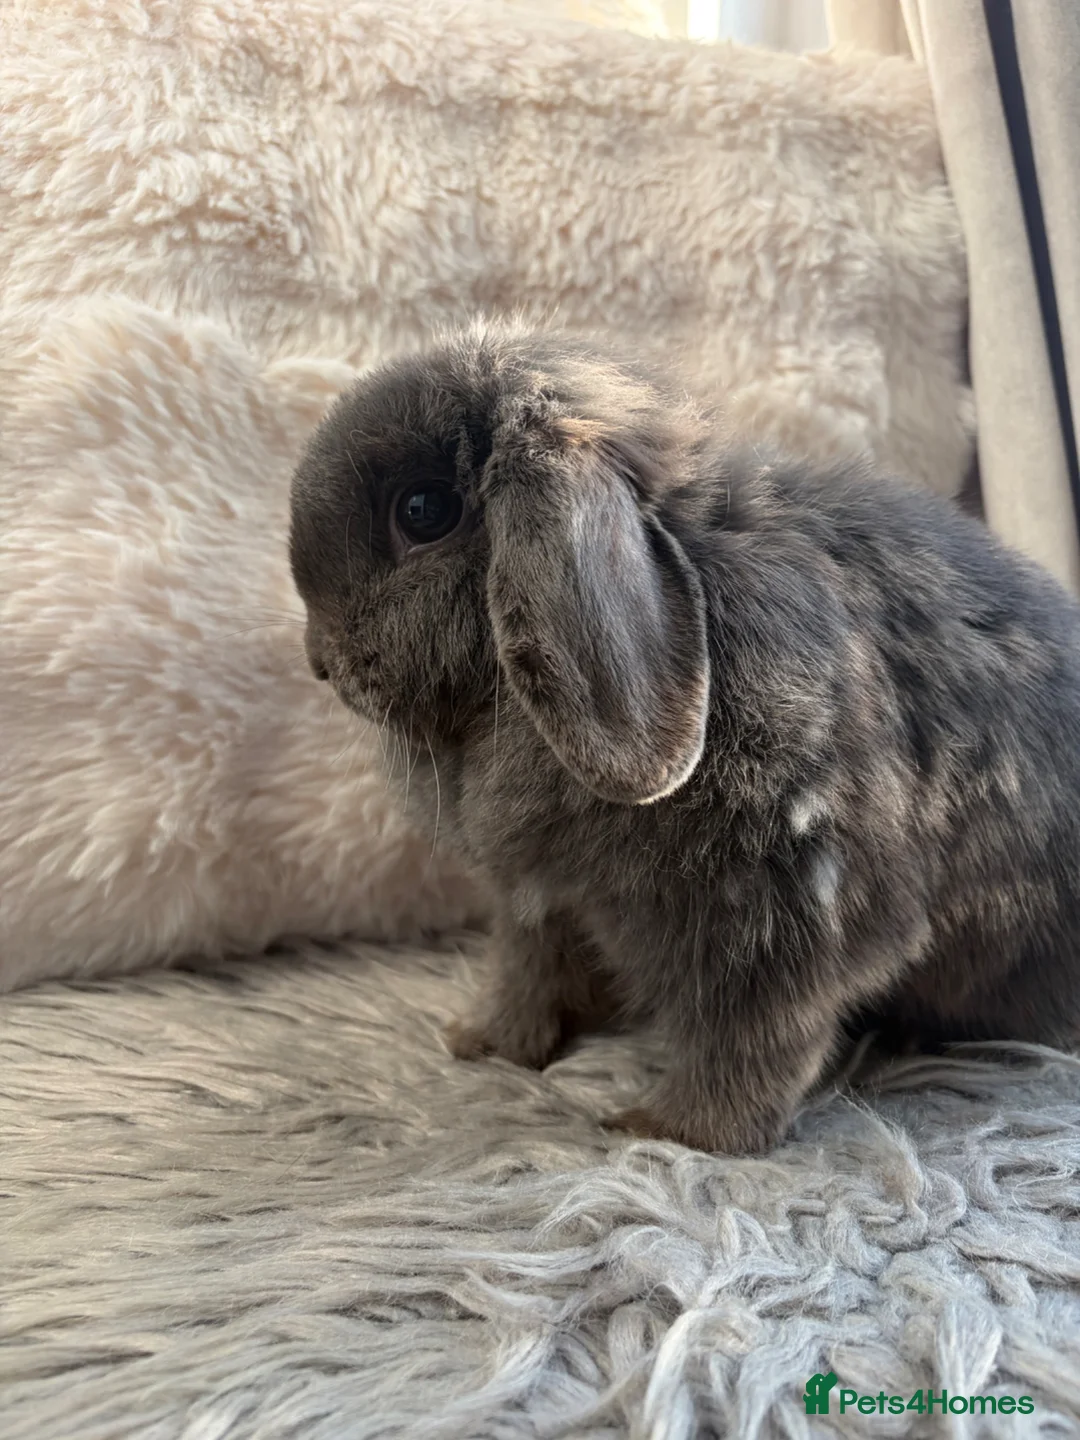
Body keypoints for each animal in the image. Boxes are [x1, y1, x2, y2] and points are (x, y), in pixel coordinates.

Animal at [289, 320, 1080, 1155]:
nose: (320, 662)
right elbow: (529, 975)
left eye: (422, 510)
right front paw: (483, 1044)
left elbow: (751, 1039)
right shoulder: (547, 904)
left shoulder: (785, 920)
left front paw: (671, 1131)